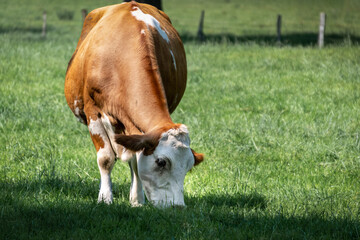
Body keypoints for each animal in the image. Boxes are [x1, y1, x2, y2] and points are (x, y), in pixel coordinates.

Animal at [64, 1, 204, 207]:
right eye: (161, 162)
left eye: (188, 166)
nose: (177, 206)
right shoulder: (93, 112)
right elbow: (105, 159)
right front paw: (105, 198)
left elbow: (136, 161)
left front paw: (137, 200)